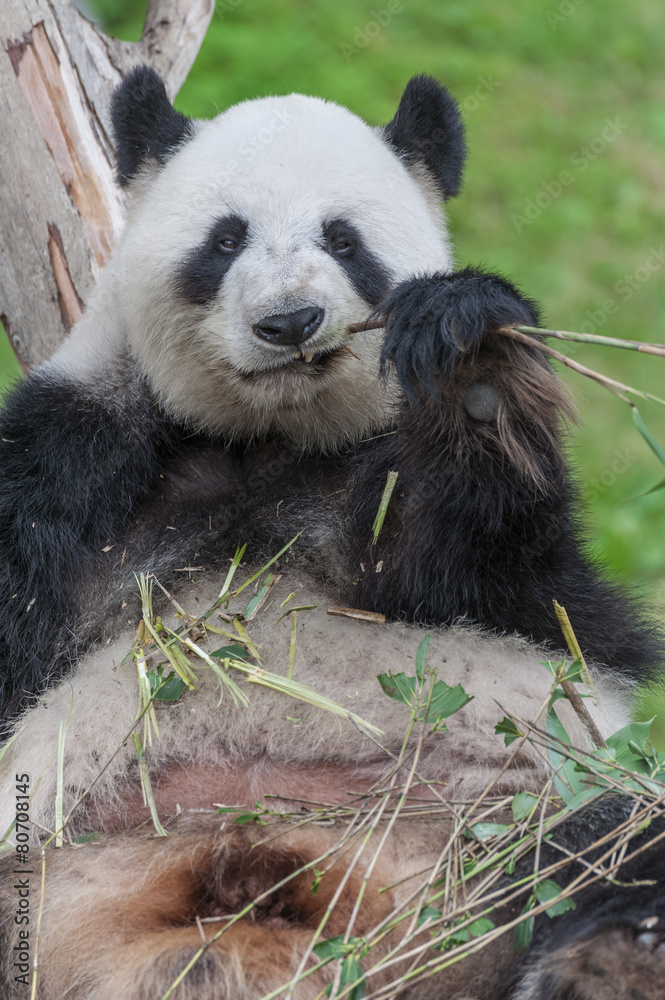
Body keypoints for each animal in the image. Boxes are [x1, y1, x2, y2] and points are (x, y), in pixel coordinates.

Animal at [0, 67, 664, 1000]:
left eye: (343, 239)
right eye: (226, 238)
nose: (290, 322)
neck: (268, 441)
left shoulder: (401, 507)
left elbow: (503, 576)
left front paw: (468, 362)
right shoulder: (73, 459)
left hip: (505, 822)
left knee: (611, 841)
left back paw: (613, 957)